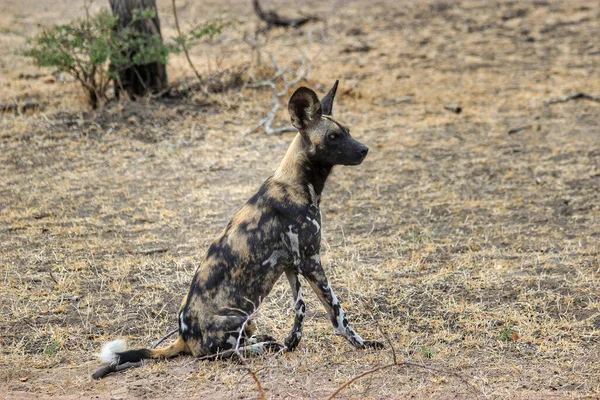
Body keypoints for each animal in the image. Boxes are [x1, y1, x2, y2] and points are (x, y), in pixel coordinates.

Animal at [96, 81, 382, 376]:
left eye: (347, 131)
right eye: (334, 137)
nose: (364, 149)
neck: (299, 183)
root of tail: (184, 338)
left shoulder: (293, 266)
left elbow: (299, 310)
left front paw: (291, 342)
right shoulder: (311, 262)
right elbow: (337, 313)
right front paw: (362, 344)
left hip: (250, 316)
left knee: (243, 340)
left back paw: (264, 340)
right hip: (238, 316)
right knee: (222, 353)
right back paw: (262, 347)